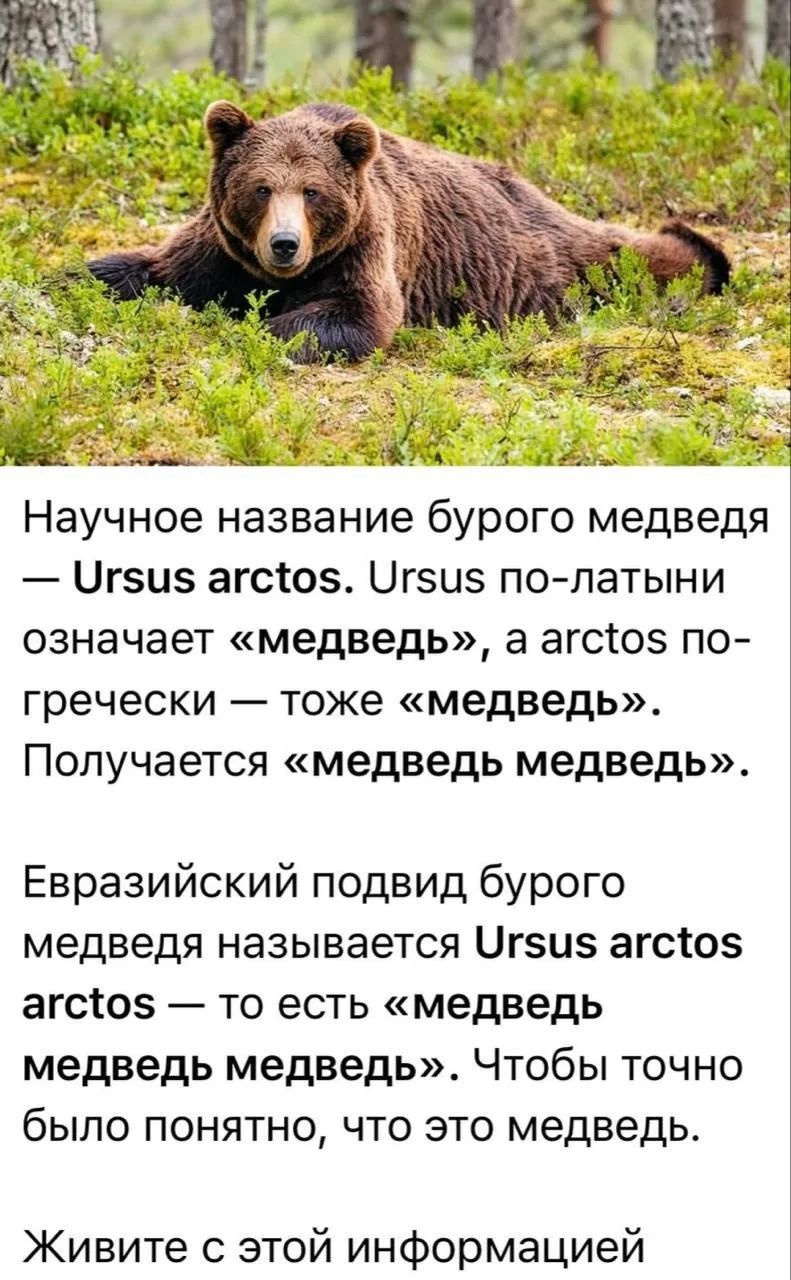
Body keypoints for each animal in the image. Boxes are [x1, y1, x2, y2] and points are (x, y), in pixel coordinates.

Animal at [87, 99, 730, 362]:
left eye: (312, 191)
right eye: (261, 188)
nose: (285, 245)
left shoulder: (367, 247)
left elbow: (356, 313)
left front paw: (260, 326)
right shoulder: (221, 249)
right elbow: (153, 267)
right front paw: (86, 275)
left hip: (549, 261)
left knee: (625, 257)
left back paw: (703, 254)